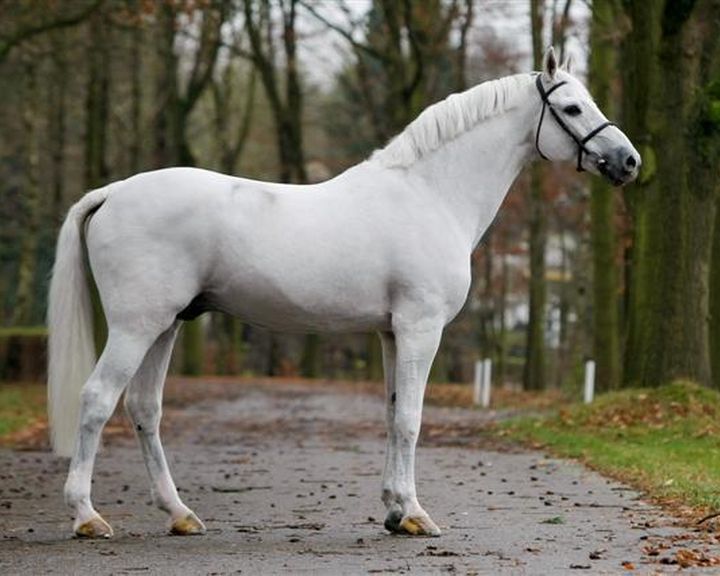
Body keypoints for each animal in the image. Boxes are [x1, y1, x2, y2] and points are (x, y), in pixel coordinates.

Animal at [47, 47, 640, 539]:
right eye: (572, 107)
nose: (629, 161)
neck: (430, 194)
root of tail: (112, 192)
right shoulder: (420, 328)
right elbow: (411, 420)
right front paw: (417, 514)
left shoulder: (391, 332)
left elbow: (393, 412)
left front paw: (395, 511)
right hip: (136, 325)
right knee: (97, 399)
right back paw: (87, 517)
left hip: (166, 325)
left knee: (144, 408)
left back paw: (180, 514)